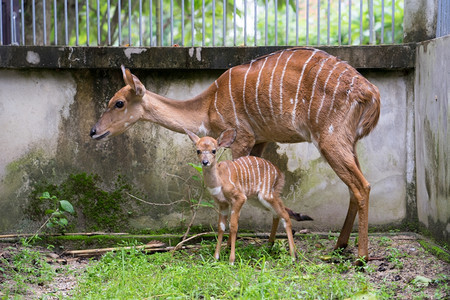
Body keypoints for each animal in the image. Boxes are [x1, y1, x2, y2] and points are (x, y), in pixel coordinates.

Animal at [185, 127, 312, 264]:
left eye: (214, 150)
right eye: (198, 150)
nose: (205, 162)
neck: (219, 180)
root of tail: (280, 174)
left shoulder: (239, 198)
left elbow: (233, 226)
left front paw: (231, 260)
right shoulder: (222, 203)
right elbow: (221, 227)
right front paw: (215, 257)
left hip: (266, 195)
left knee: (285, 216)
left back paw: (293, 256)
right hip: (258, 199)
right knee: (277, 214)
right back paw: (269, 246)